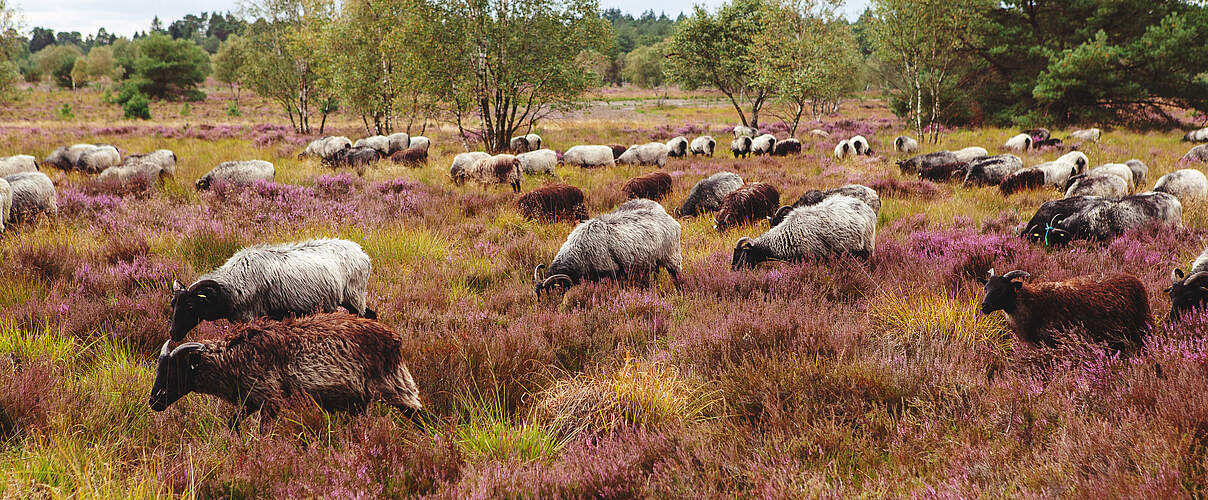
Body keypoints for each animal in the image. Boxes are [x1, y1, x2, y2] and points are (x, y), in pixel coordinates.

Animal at [149, 313, 423, 429]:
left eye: (174, 371)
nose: (153, 402)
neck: (232, 358)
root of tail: (394, 339)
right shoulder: (252, 399)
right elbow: (233, 421)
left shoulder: (269, 399)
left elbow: (263, 430)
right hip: (360, 399)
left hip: (394, 384)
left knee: (418, 413)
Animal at [168, 238, 374, 340]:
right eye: (173, 304)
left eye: (190, 306)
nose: (173, 333)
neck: (233, 285)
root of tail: (363, 253)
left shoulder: (250, 317)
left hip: (354, 296)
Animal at [533, 198, 682, 298]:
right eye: (538, 296)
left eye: (552, 294)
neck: (580, 251)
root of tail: (670, 219)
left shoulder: (609, 272)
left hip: (672, 257)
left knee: (676, 276)